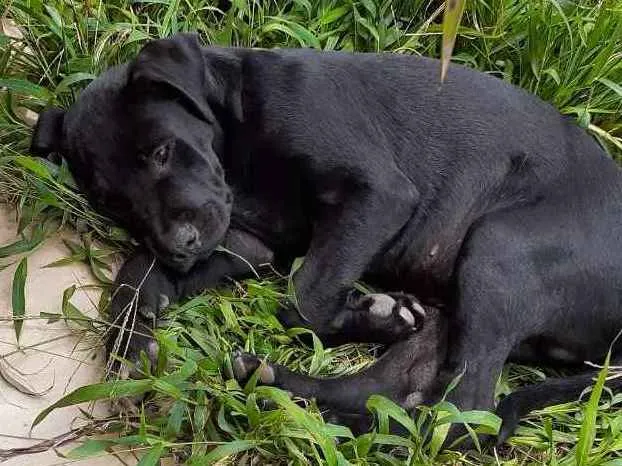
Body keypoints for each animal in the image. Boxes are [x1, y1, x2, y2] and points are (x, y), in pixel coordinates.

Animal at [30, 32, 622, 444]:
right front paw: (131, 348)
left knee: (465, 416)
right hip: (460, 303)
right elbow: (136, 271)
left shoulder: (378, 194)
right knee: (401, 393)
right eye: (113, 202)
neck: (240, 120)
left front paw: (365, 314)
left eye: (160, 151)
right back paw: (282, 391)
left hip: (499, 250)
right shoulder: (246, 240)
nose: (179, 245)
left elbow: (303, 300)